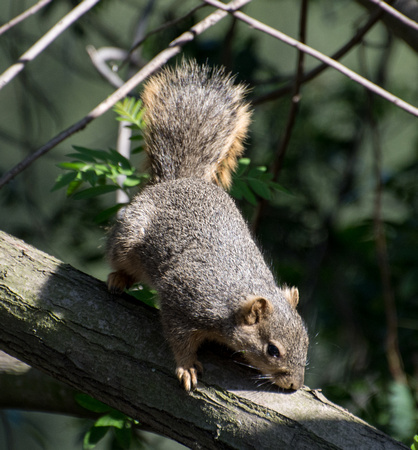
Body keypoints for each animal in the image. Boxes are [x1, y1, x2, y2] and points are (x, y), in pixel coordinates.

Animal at [106, 59, 308, 390]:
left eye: (306, 342)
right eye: (272, 350)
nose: (294, 385)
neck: (232, 299)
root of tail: (179, 181)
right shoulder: (182, 301)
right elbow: (178, 339)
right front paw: (186, 366)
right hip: (127, 238)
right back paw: (118, 278)